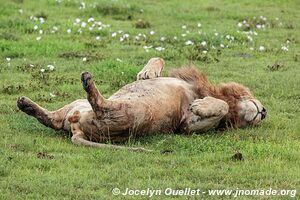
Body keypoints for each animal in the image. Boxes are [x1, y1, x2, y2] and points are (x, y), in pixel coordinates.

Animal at [17, 57, 268, 152]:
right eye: (252, 94)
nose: (264, 112)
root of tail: (77, 128)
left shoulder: (186, 126)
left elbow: (220, 107)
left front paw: (201, 105)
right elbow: (157, 58)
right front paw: (147, 72)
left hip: (133, 111)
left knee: (100, 106)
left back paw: (88, 82)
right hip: (76, 106)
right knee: (53, 119)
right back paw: (25, 104)